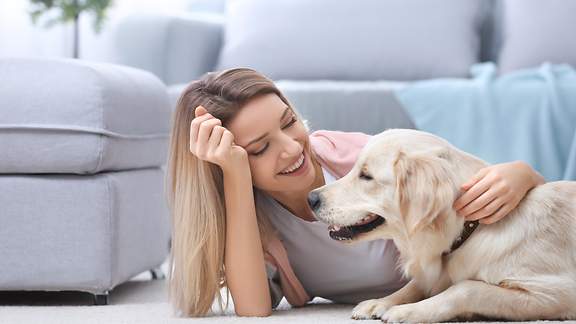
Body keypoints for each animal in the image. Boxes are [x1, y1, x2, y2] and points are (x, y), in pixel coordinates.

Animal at [308, 128, 576, 322]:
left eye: (366, 176)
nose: (311, 198)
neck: (471, 227)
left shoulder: (555, 290)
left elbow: (466, 288)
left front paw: (408, 311)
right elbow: (417, 284)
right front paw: (381, 301)